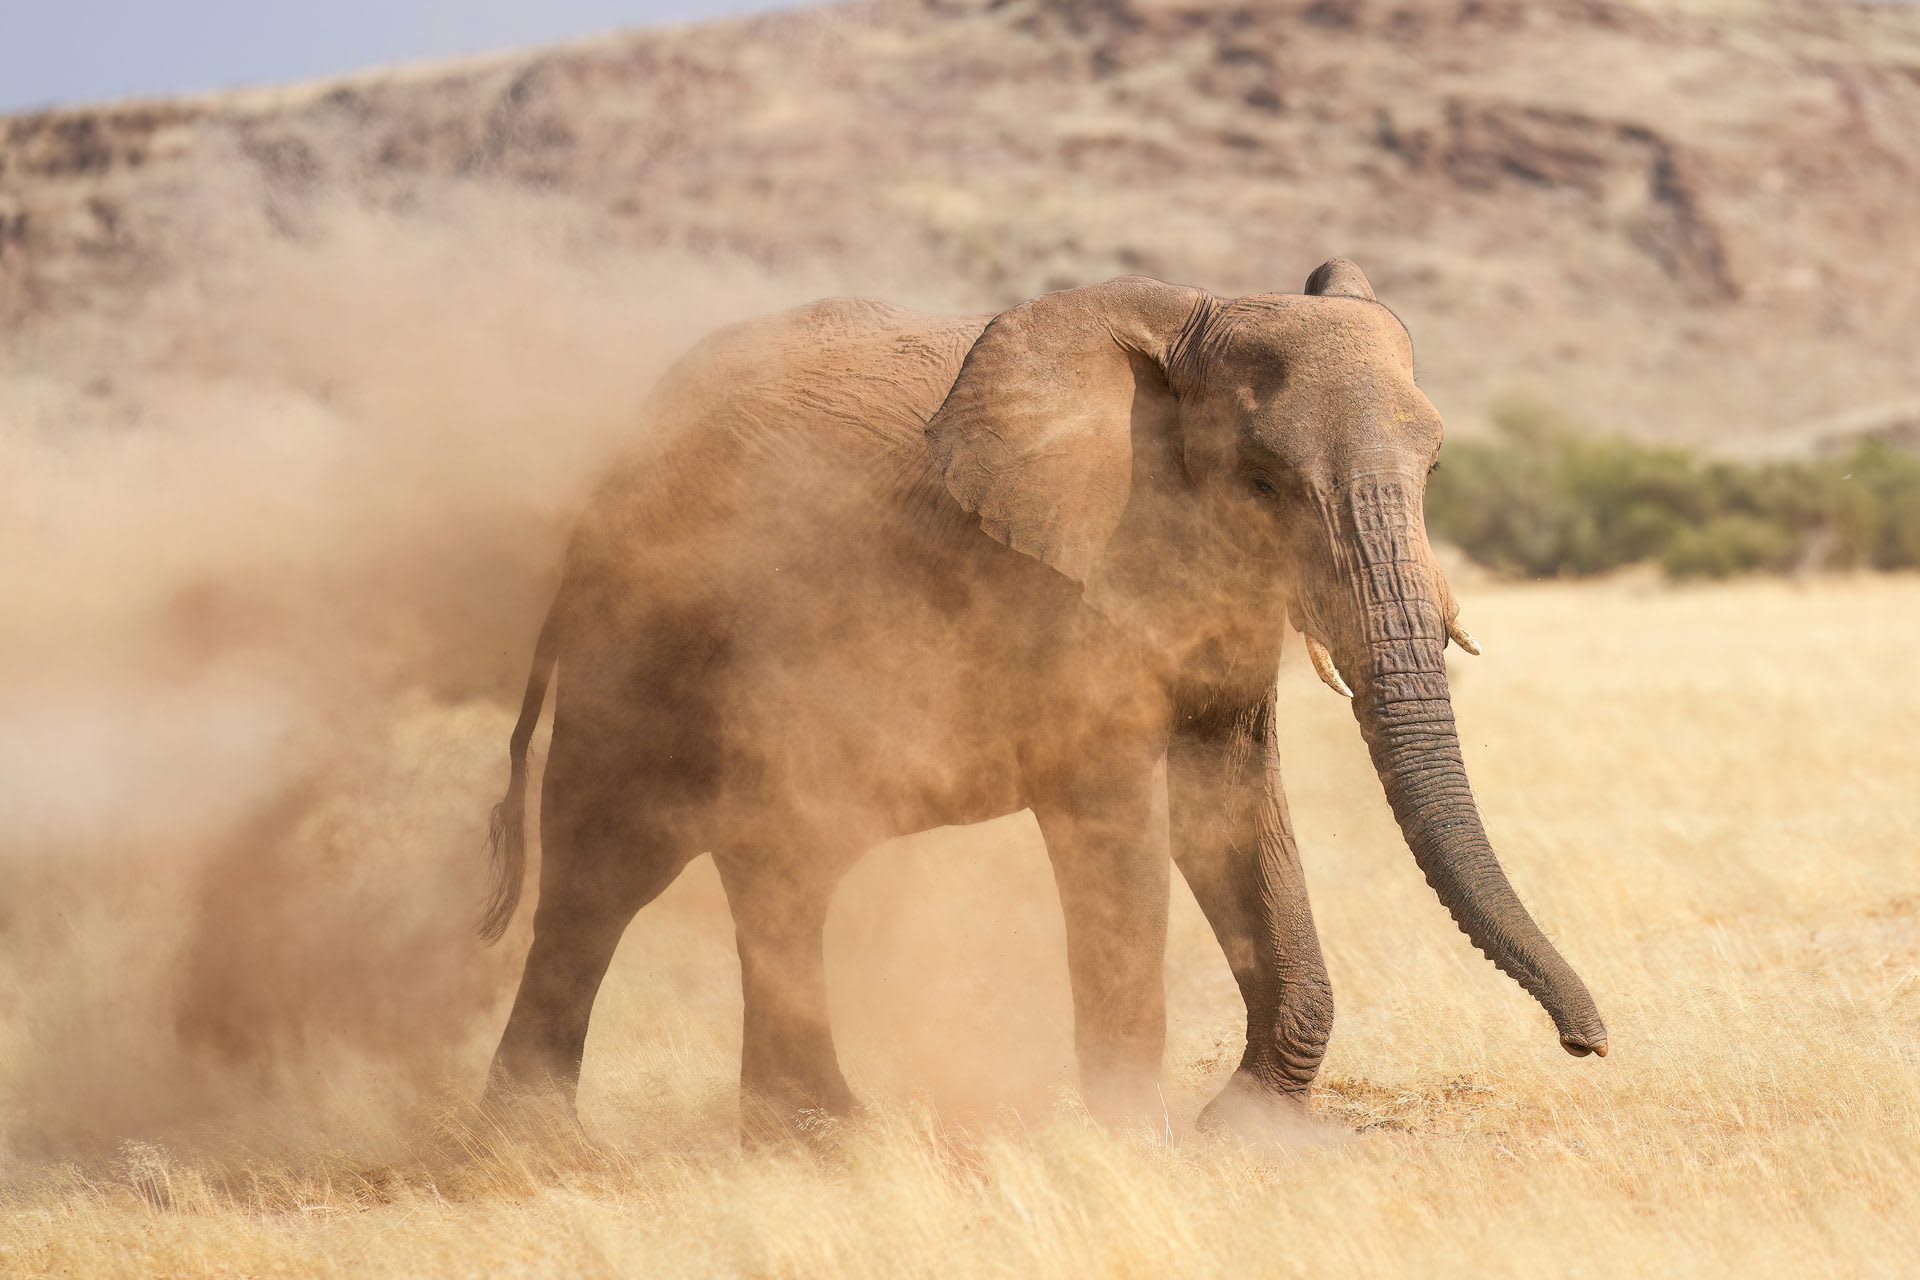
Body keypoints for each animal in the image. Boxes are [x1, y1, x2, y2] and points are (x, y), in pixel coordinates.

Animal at [476, 258, 1607, 1138]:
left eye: (1437, 466)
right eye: (1264, 481)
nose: (1587, 1041)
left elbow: (1236, 804)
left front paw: (1248, 1132)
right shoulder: (1068, 585)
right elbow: (1120, 824)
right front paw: (1140, 1145)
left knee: (783, 860)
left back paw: (817, 1136)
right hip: (641, 630)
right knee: (605, 861)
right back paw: (538, 1149)